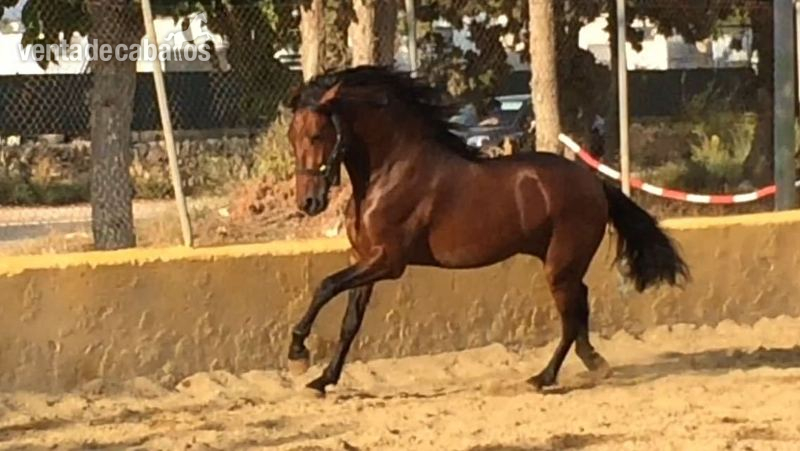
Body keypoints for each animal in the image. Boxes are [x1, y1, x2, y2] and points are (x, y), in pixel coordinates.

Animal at [285, 66, 689, 395]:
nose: (309, 202)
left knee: (571, 315)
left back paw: (543, 378)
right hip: (562, 262)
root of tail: (594, 183)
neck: (388, 172)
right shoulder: (366, 259)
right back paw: (593, 362)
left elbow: (325, 286)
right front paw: (322, 380)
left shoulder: (387, 261)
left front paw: (297, 354)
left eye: (317, 135)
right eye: (292, 136)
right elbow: (349, 322)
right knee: (581, 304)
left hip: (559, 265)